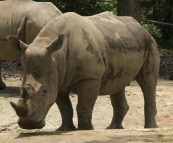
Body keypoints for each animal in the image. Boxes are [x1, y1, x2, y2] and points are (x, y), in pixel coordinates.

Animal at [9, 11, 159, 130]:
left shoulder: (89, 77)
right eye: (21, 88)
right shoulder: (57, 79)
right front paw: (65, 129)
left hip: (150, 42)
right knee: (117, 83)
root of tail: (140, 26)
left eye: (44, 91)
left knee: (148, 82)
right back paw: (112, 128)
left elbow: (84, 105)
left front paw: (85, 129)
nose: (28, 125)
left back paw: (150, 128)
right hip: (121, 40)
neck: (56, 56)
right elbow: (65, 107)